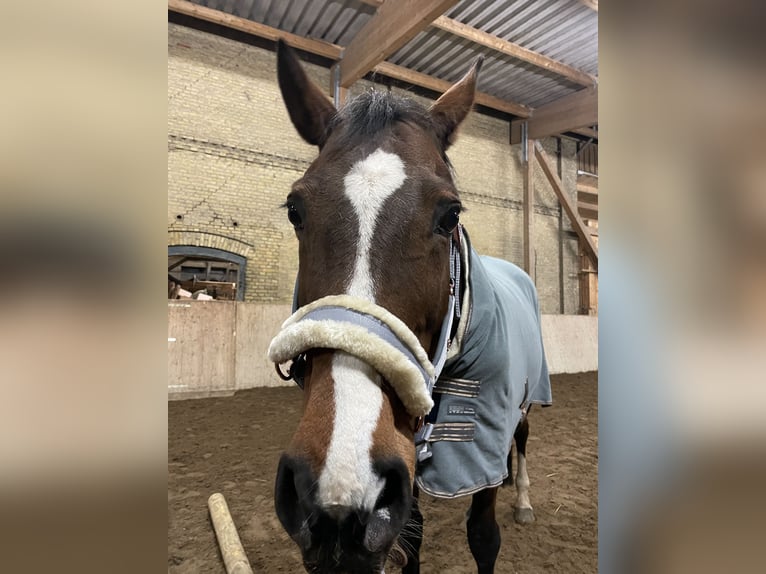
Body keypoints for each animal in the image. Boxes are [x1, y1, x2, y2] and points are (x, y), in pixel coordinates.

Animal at [268, 38, 552, 572]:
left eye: (450, 214)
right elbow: (411, 538)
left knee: (522, 439)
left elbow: (484, 535)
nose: (335, 501)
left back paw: (524, 497)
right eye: (295, 210)